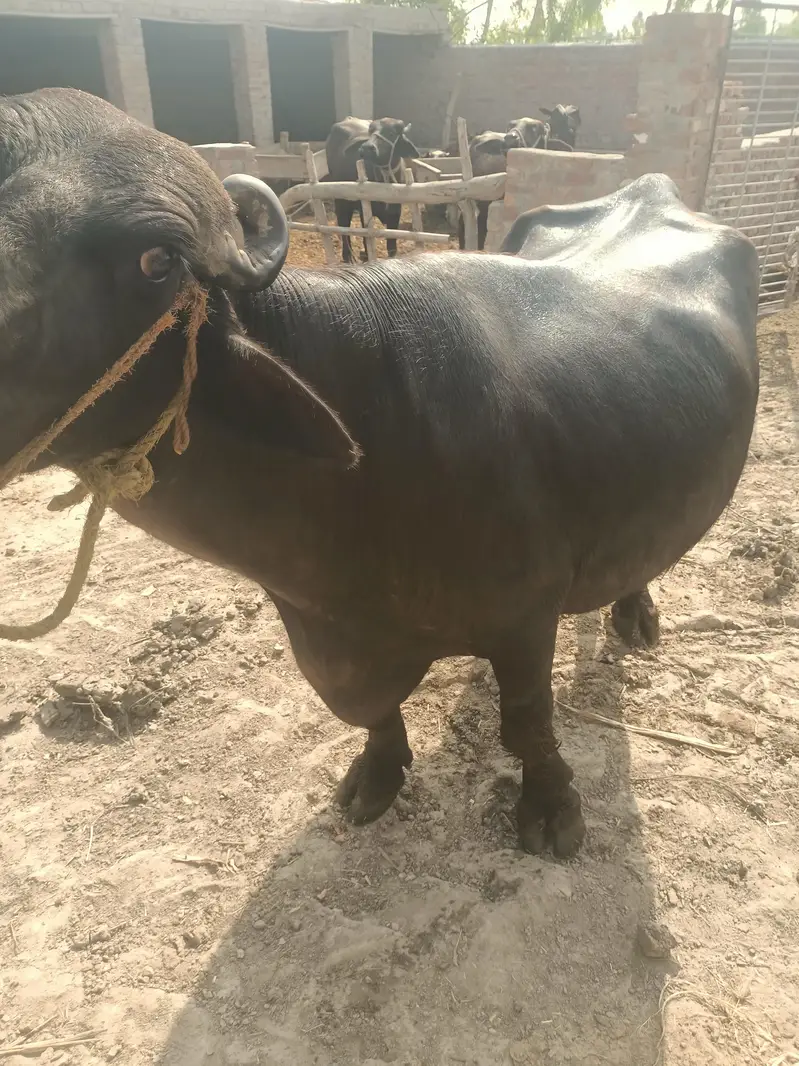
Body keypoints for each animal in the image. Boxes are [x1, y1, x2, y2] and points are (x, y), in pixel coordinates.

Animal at [0, 89, 759, 858]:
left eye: (154, 262)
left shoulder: (527, 616)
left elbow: (526, 723)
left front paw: (551, 806)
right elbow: (373, 714)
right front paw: (378, 771)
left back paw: (636, 615)